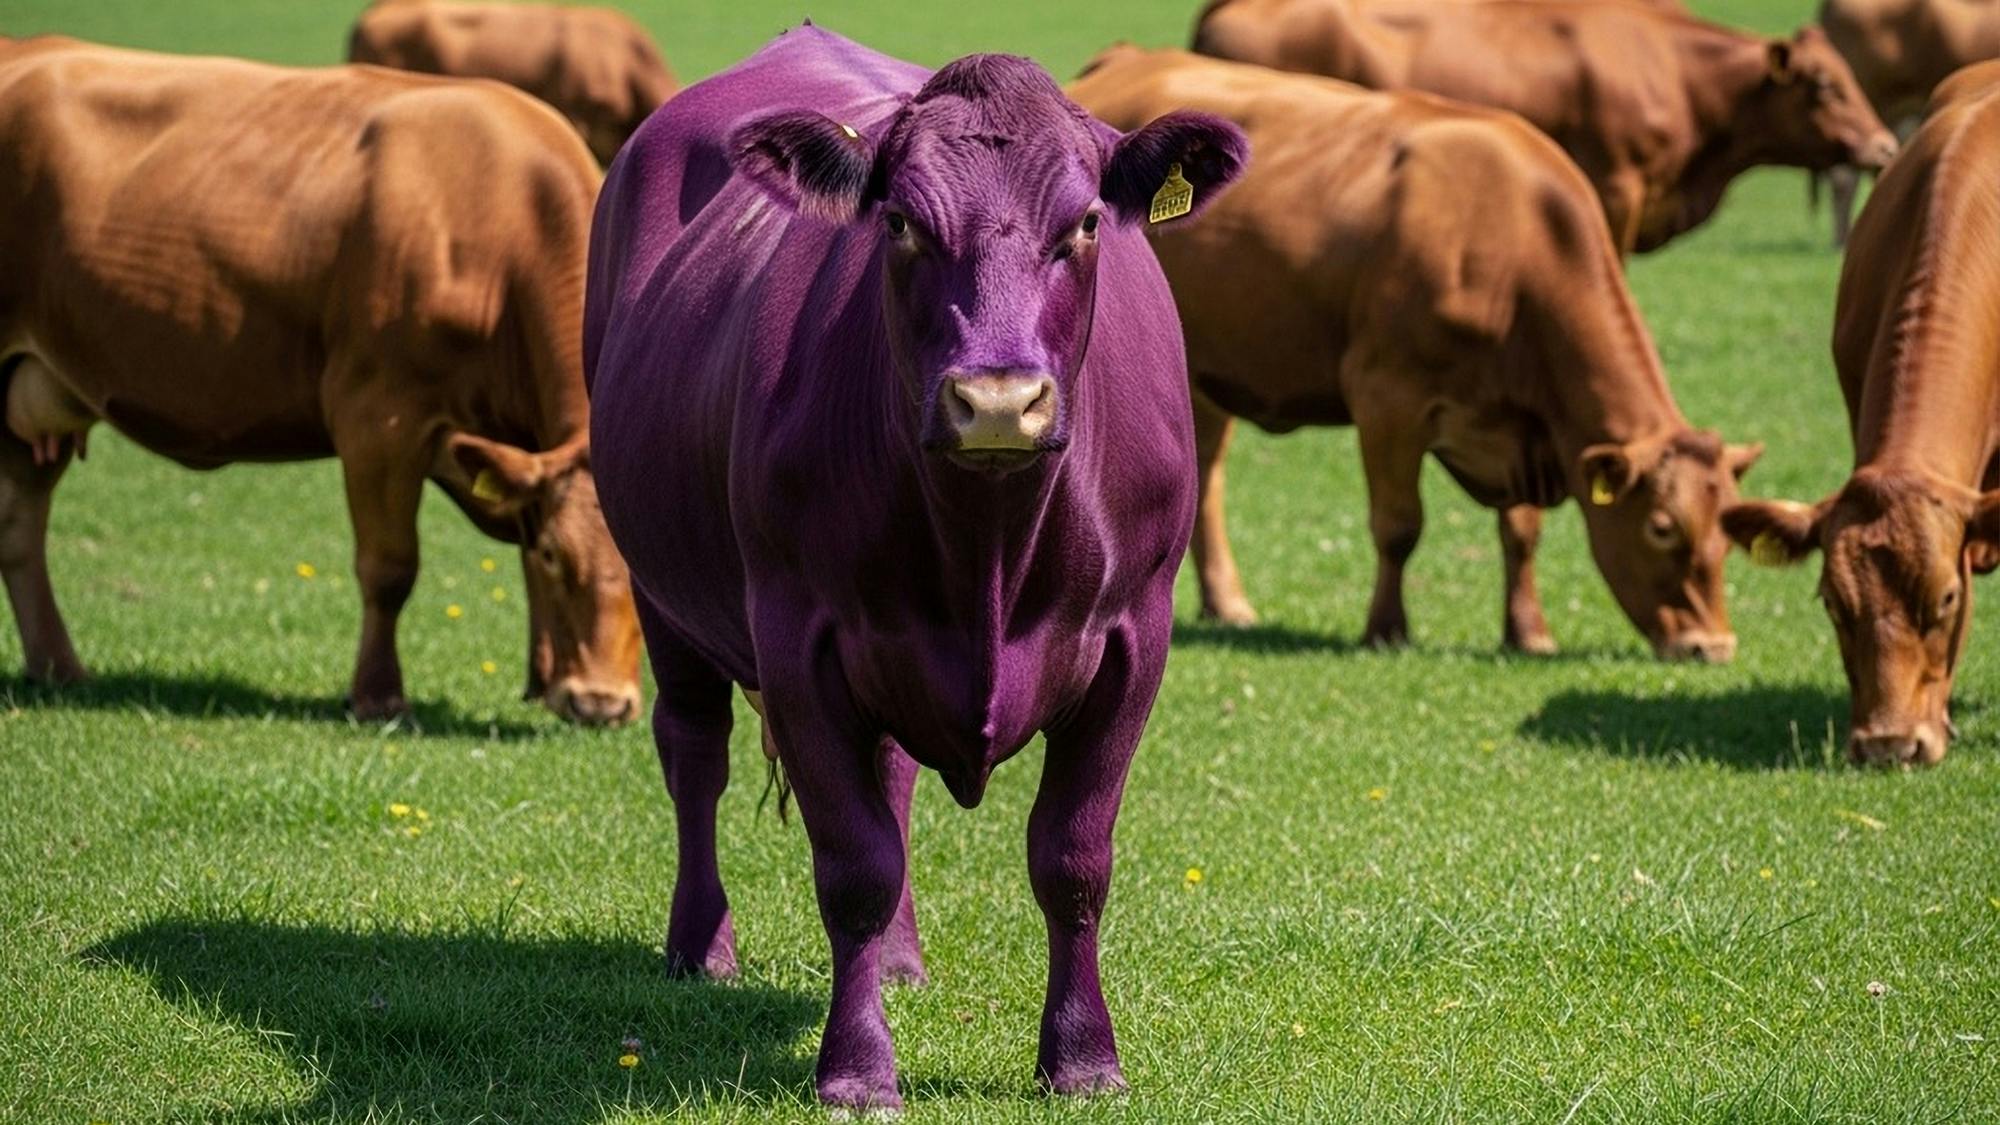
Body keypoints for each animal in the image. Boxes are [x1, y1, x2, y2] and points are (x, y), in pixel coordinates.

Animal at [0, 37, 642, 725]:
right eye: (557, 554)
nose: (602, 704)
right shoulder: (378, 417)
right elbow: (390, 567)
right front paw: (378, 694)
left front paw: (541, 681)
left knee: (20, 525)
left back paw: (58, 668)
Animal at [584, 23, 1245, 1110]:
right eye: (899, 223)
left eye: (1084, 225)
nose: (997, 401)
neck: (986, 547)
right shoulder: (796, 636)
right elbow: (852, 865)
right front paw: (856, 1069)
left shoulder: (1133, 638)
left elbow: (1072, 857)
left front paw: (1082, 1057)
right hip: (661, 591)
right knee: (694, 752)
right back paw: (700, 946)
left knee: (887, 778)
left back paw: (897, 963)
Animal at [1070, 46, 1762, 659]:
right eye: (1660, 528)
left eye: (1728, 534)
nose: (1712, 647)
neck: (1511, 245)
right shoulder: (1387, 397)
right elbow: (1399, 525)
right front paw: (1386, 629)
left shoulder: (1523, 422)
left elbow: (1522, 530)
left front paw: (1527, 632)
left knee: (1205, 475)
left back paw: (1228, 603)